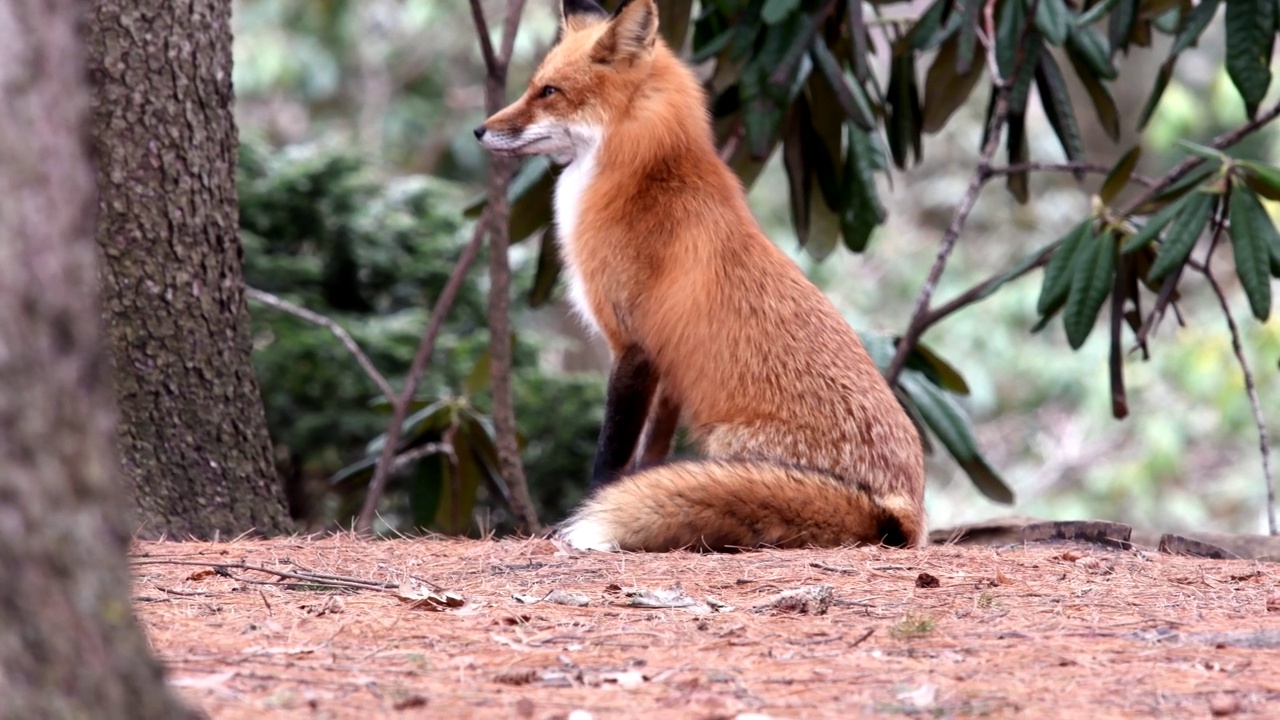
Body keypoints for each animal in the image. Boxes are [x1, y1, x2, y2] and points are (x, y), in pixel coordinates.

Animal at [476, 0, 926, 548]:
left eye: (549, 91)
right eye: (533, 86)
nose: (479, 130)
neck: (644, 173)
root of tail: (903, 512)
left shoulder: (632, 344)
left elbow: (611, 455)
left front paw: (586, 511)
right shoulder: (668, 366)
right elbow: (651, 455)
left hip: (729, 440)